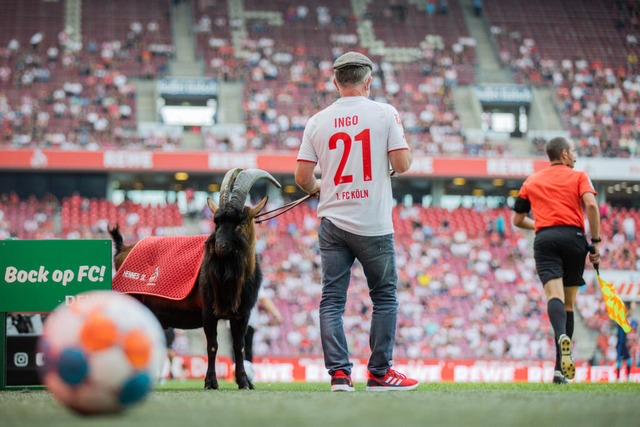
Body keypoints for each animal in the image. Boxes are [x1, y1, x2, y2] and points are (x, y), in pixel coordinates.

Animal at [109, 169, 280, 390]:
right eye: (216, 221)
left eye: (241, 221)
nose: (220, 247)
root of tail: (122, 250)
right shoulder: (208, 310)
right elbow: (213, 345)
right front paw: (211, 382)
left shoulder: (243, 314)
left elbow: (239, 346)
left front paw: (244, 382)